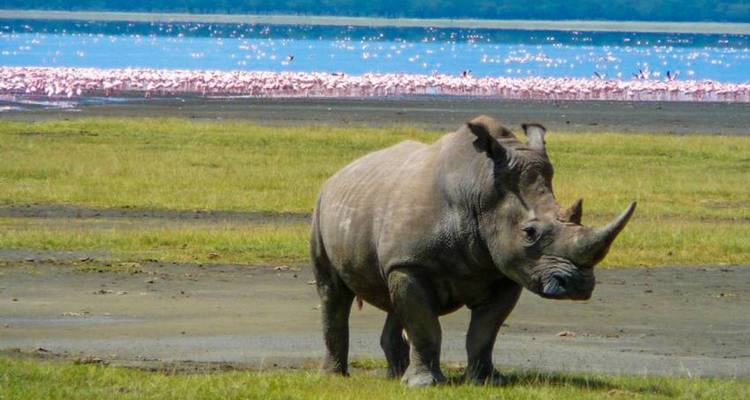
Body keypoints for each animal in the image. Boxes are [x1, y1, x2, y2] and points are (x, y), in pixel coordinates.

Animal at [310, 115, 636, 386]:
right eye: (529, 233)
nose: (579, 286)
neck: (479, 189)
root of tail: (339, 174)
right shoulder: (412, 264)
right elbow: (424, 327)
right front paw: (424, 385)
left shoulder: (504, 270)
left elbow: (484, 332)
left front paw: (487, 381)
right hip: (322, 206)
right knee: (333, 292)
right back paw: (336, 376)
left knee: (393, 297)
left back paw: (394, 376)